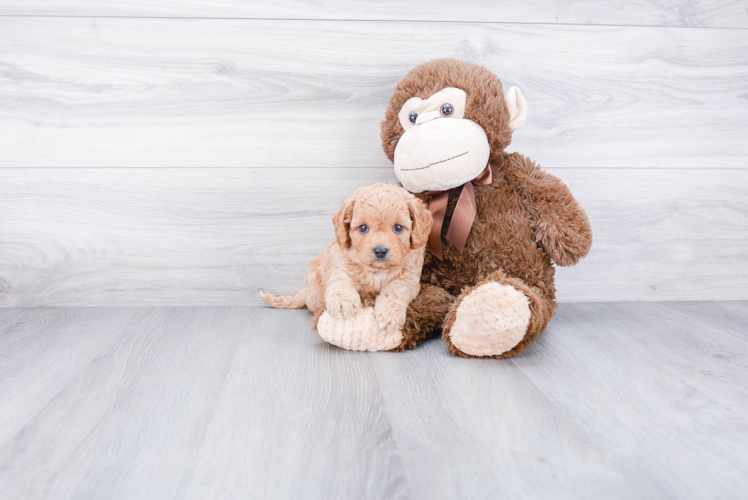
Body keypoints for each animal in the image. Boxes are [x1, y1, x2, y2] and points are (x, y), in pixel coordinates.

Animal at [262, 182, 430, 338]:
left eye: (398, 228)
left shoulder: (410, 279)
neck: (377, 270)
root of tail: (307, 291)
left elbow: (396, 290)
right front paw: (342, 303)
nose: (380, 251)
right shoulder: (340, 266)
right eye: (363, 228)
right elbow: (341, 282)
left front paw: (390, 313)